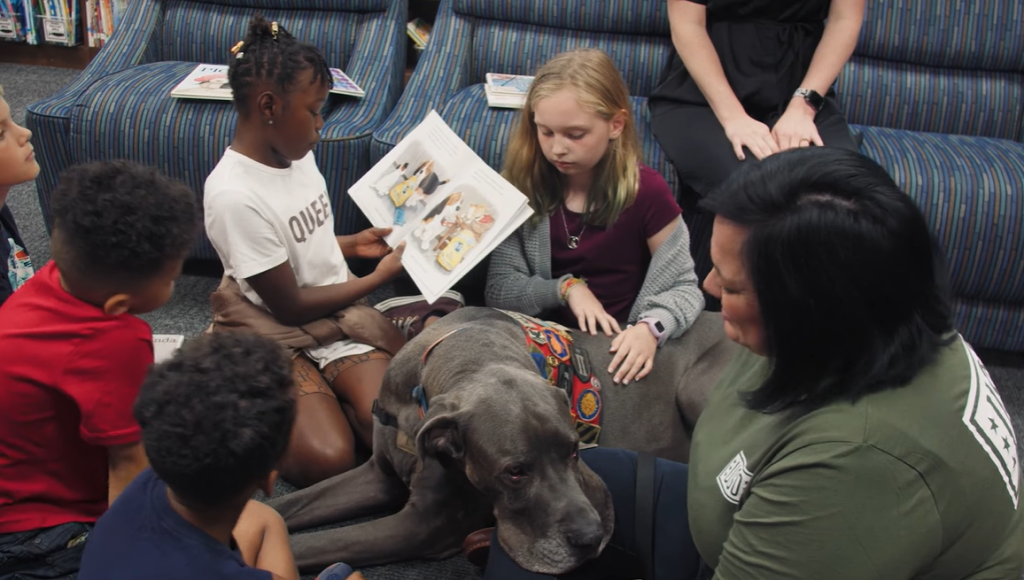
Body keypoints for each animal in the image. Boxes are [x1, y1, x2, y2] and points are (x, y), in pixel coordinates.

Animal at [270, 307, 737, 573]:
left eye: (572, 451)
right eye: (515, 472)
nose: (591, 538)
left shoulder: (422, 526)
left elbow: (311, 543)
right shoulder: (378, 476)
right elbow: (285, 509)